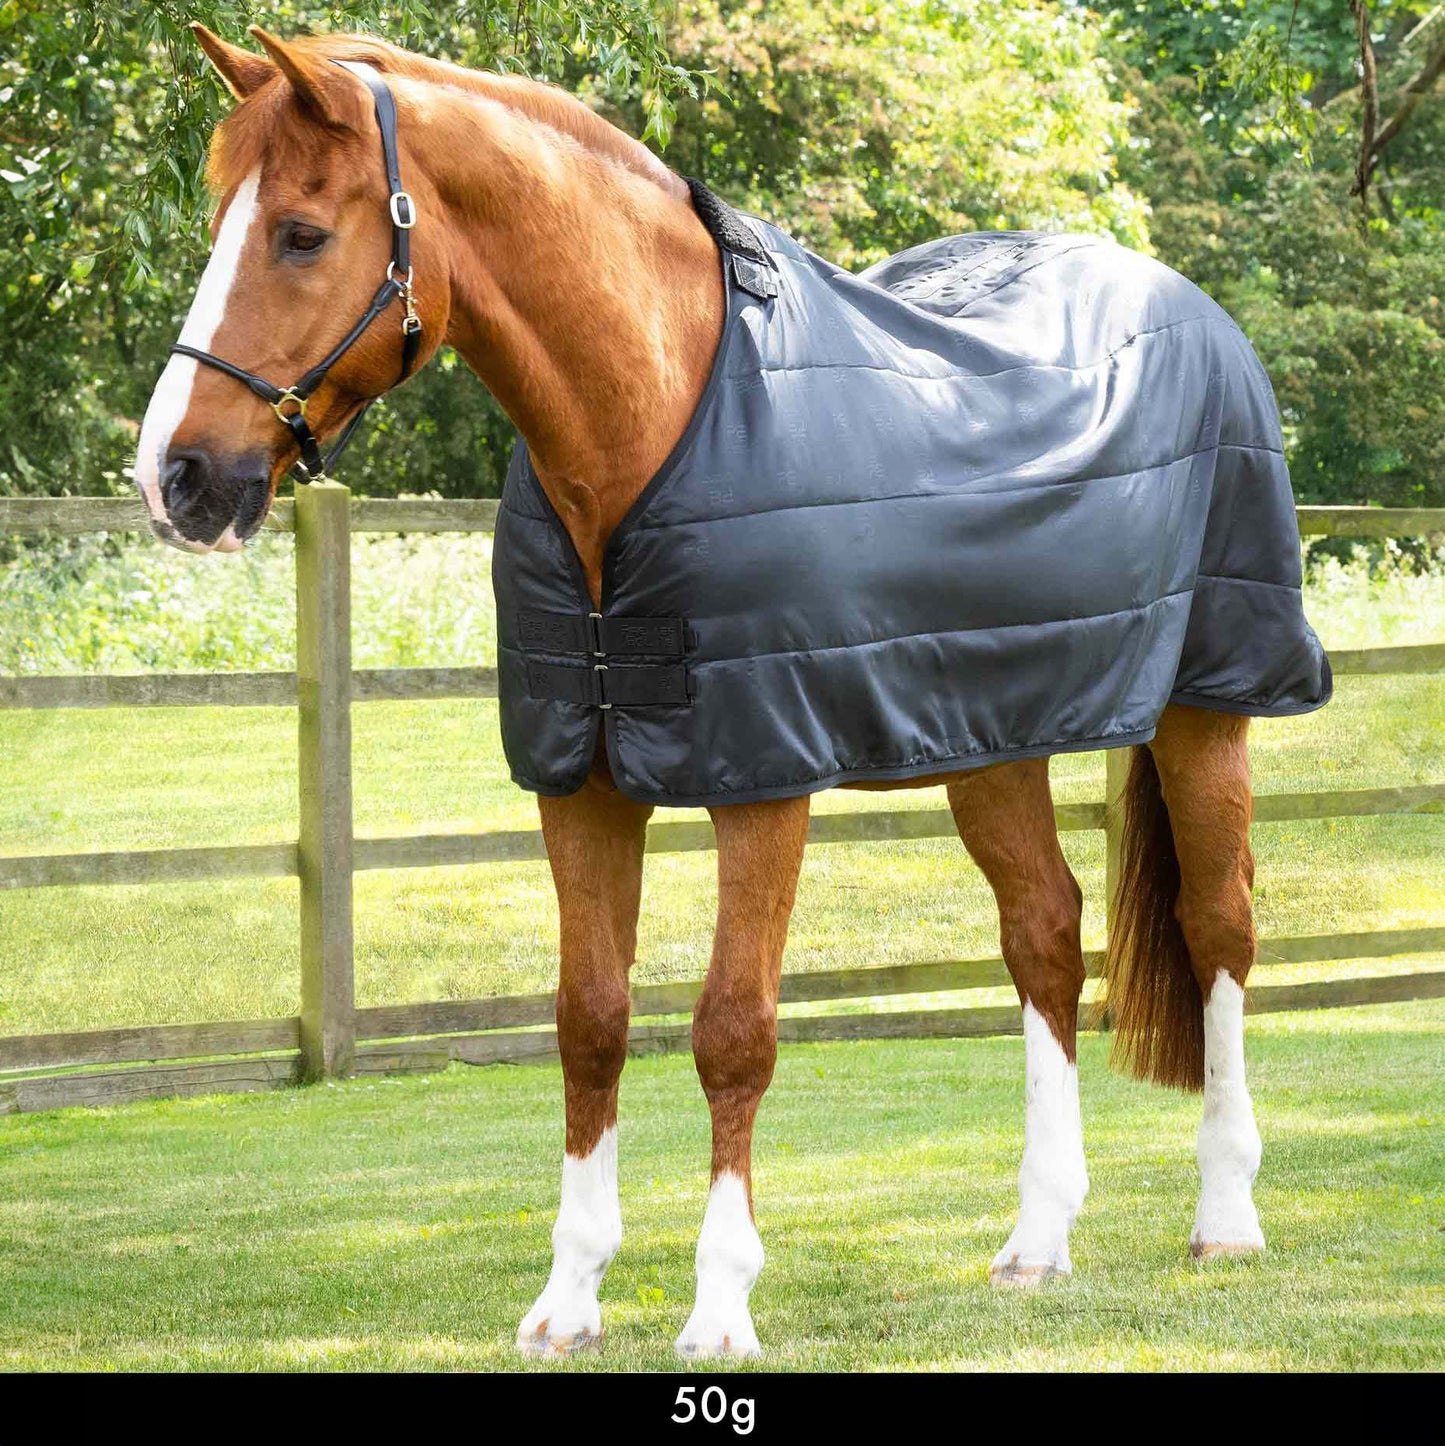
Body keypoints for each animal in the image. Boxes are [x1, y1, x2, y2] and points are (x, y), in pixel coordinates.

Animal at [133, 25, 1327, 1360]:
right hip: (989, 735)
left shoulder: (764, 778)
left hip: (1205, 705)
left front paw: (718, 1306)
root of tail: (1191, 310)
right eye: (221, 219)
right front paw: (568, 1298)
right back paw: (1035, 1240)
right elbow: (589, 1019)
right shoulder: (580, 782)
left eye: (299, 233)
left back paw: (1224, 1216)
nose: (174, 475)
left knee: (1218, 927)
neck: (654, 421)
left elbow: (731, 1031)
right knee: (1044, 935)